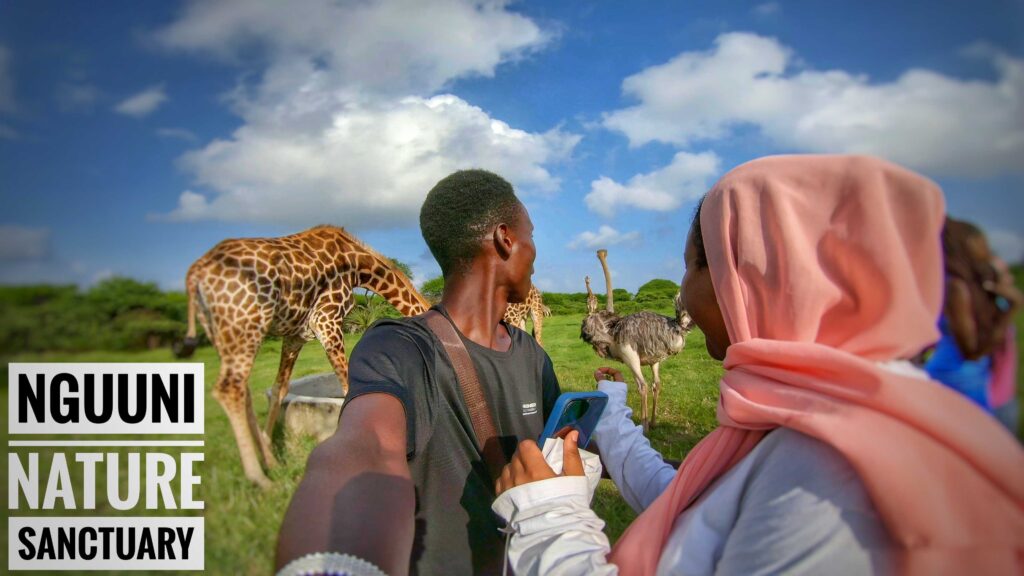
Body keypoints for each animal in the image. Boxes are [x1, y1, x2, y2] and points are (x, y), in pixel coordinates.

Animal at [180, 224, 428, 483]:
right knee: (229, 388)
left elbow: (279, 389)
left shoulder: (295, 337)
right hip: (246, 326)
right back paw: (260, 479)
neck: (358, 266)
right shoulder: (327, 320)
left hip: (221, 332)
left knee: (243, 389)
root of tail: (196, 272)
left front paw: (269, 449)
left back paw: (267, 461)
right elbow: (347, 388)